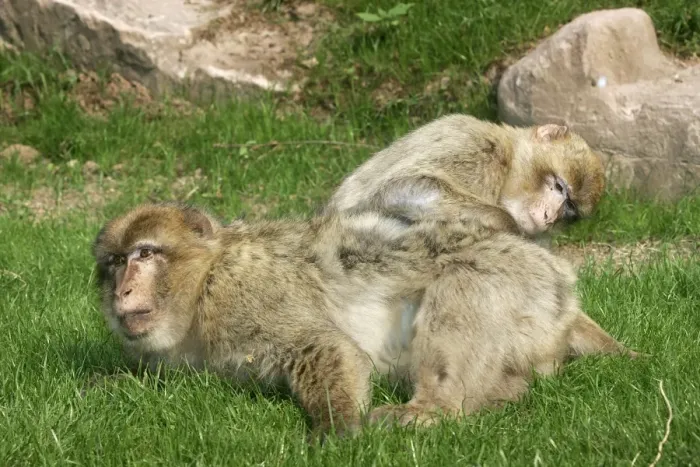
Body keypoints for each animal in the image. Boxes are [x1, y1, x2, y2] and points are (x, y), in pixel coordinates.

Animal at [92, 202, 636, 439]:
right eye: (116, 261)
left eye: (146, 254)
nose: (123, 288)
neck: (202, 286)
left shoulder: (246, 292)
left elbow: (326, 347)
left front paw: (338, 429)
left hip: (521, 282)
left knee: (463, 281)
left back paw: (435, 409)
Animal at [325, 114, 605, 244]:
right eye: (558, 187)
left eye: (569, 209)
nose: (550, 216)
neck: (507, 160)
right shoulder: (478, 147)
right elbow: (401, 187)